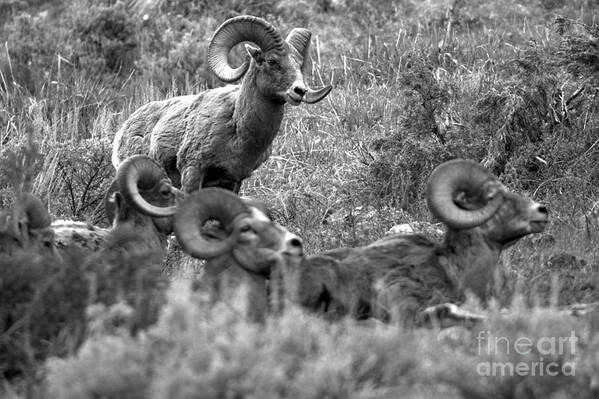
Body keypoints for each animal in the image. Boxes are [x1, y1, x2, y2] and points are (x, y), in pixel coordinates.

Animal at [112, 16, 332, 195]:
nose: (299, 91)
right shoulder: (192, 172)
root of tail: (124, 129)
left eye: (299, 64)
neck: (237, 128)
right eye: (272, 61)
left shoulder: (233, 181)